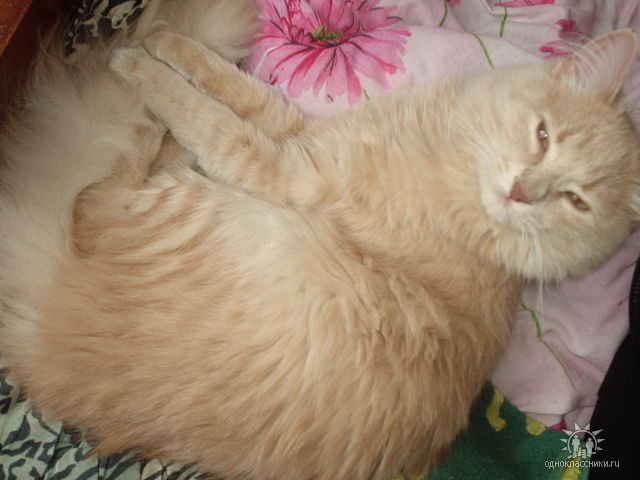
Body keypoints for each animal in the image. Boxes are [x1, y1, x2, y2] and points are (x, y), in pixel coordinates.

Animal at [2, 1, 640, 478]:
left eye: (577, 202)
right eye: (543, 136)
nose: (522, 191)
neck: (451, 160)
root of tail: (43, 333)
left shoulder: (287, 171)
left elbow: (205, 115)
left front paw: (144, 63)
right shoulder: (306, 138)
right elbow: (231, 86)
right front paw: (173, 46)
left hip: (189, 211)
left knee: (101, 190)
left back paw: (148, 99)